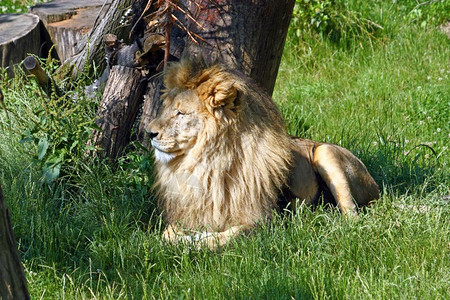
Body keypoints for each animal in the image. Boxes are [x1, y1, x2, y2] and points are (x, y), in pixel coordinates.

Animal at [146, 59, 378, 250]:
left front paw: (194, 241)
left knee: (351, 216)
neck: (206, 165)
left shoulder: (263, 222)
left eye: (181, 113)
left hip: (326, 152)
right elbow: (166, 235)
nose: (149, 132)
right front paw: (181, 239)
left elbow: (224, 238)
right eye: (166, 109)